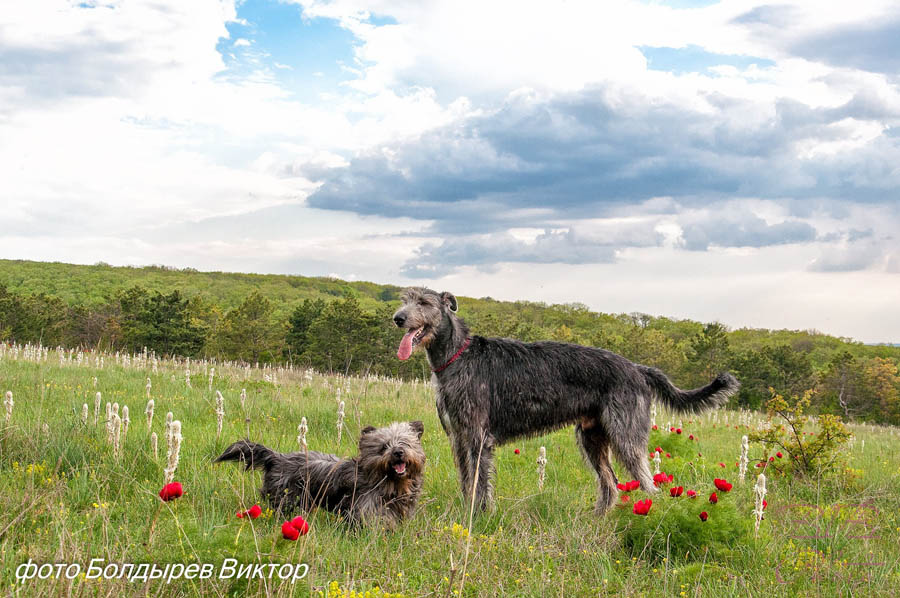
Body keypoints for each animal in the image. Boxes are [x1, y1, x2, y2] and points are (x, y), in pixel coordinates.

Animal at [394, 288, 740, 512]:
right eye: (404, 300)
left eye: (424, 301)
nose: (398, 318)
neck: (456, 355)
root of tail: (637, 368)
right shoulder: (458, 437)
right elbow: (467, 481)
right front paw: (465, 513)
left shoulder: (478, 438)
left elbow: (480, 484)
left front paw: (477, 517)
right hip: (592, 437)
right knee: (611, 483)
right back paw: (599, 519)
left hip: (626, 436)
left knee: (648, 483)